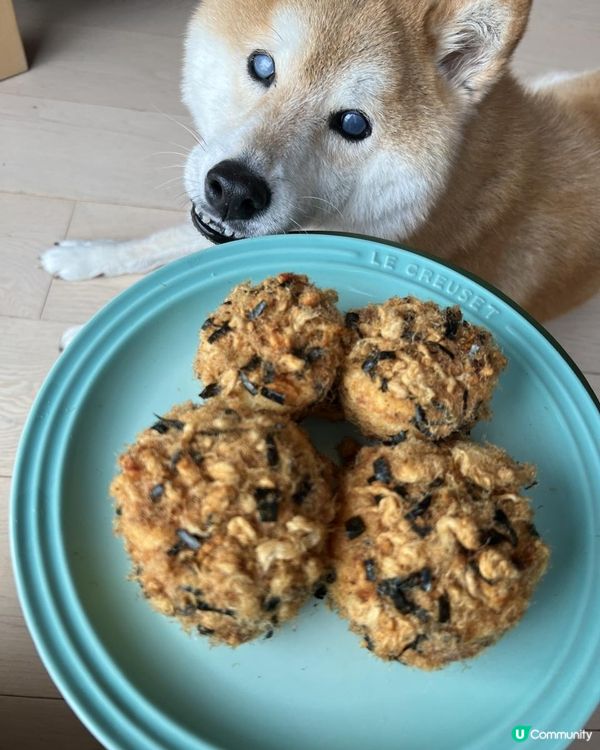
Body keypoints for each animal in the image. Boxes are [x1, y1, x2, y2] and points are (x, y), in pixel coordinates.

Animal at [39, 0, 596, 320]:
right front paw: (90, 255)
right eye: (262, 66)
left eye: (353, 124)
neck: (452, 191)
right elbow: (161, 241)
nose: (235, 189)